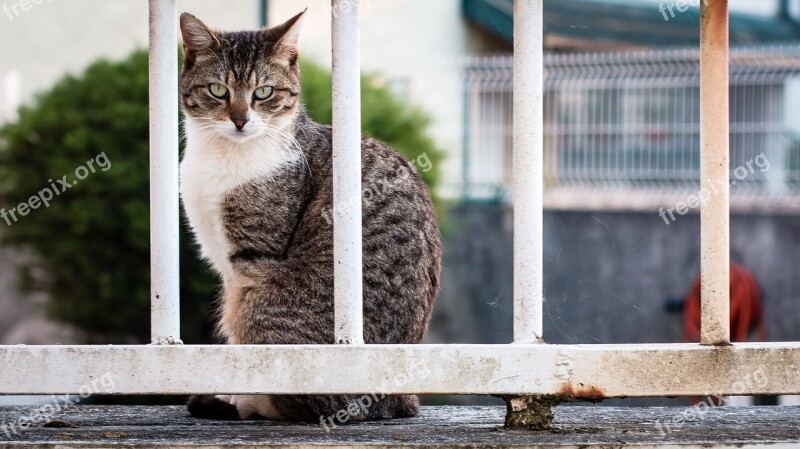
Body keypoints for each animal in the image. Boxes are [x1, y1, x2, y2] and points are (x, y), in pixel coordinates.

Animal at [179, 12, 444, 422]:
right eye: (218, 90)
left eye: (264, 93)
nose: (240, 120)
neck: (223, 155)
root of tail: (400, 401)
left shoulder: (251, 260)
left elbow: (241, 347)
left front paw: (237, 392)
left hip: (261, 303)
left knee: (306, 401)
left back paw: (246, 402)